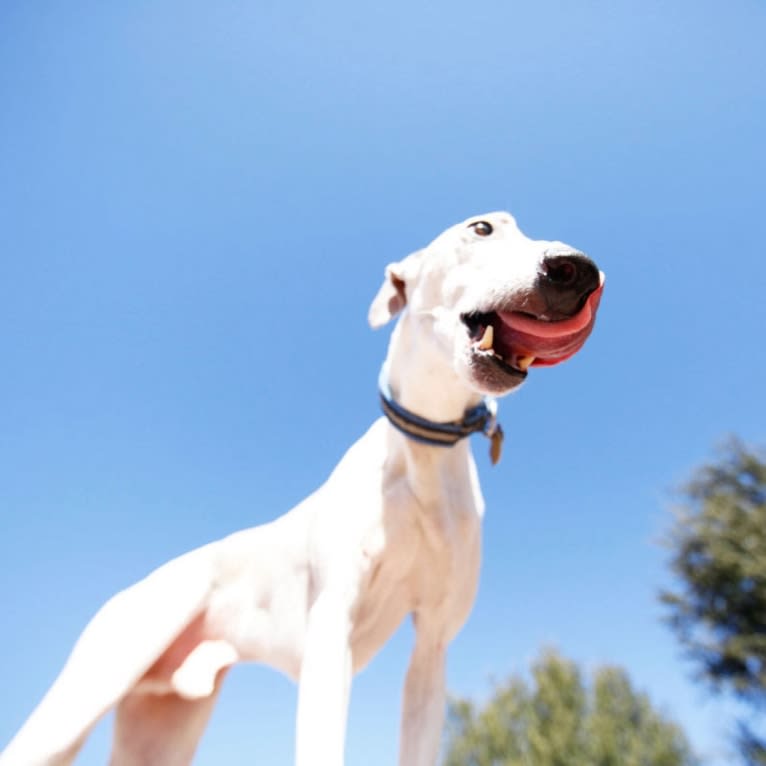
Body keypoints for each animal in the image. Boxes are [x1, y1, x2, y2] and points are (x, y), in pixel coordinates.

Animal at [1, 212, 608, 766]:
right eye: (482, 228)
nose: (577, 269)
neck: (421, 457)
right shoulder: (330, 633)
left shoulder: (432, 646)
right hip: (86, 694)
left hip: (162, 726)